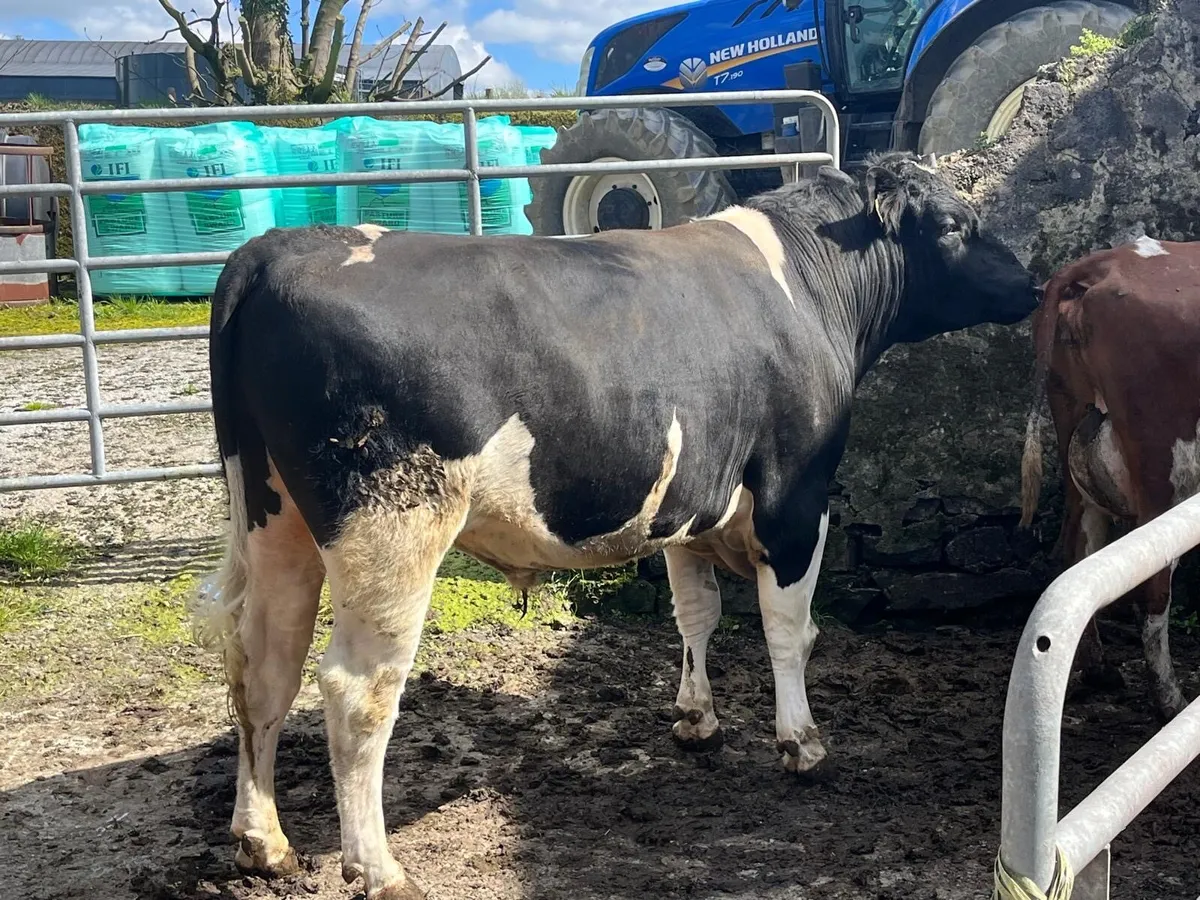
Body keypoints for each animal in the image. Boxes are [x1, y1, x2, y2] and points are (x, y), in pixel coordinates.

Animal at [192, 151, 1038, 899]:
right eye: (956, 224)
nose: (1031, 282)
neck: (806, 283)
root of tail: (277, 248)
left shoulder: (692, 501)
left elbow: (695, 614)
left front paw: (697, 720)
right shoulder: (796, 495)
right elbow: (788, 629)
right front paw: (801, 742)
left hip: (274, 520)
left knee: (262, 664)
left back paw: (264, 843)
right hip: (391, 526)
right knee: (355, 691)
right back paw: (378, 870)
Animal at [1020, 236, 1200, 723]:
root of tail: (1105, 262)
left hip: (1076, 439)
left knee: (1077, 556)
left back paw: (1100, 671)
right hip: (1165, 470)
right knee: (1151, 587)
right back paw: (1170, 700)